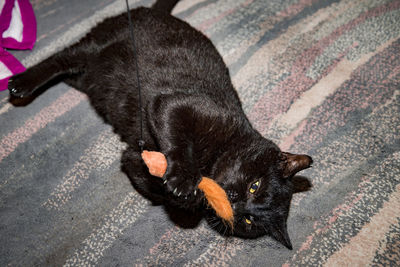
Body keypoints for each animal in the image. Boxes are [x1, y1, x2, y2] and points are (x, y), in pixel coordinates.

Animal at [7, 0, 312, 251]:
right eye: (255, 186)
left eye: (248, 221)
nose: (236, 202)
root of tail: (155, 11)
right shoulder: (174, 105)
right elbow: (178, 143)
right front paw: (183, 179)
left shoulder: (133, 156)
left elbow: (154, 187)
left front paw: (187, 194)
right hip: (95, 46)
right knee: (60, 57)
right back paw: (21, 83)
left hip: (86, 79)